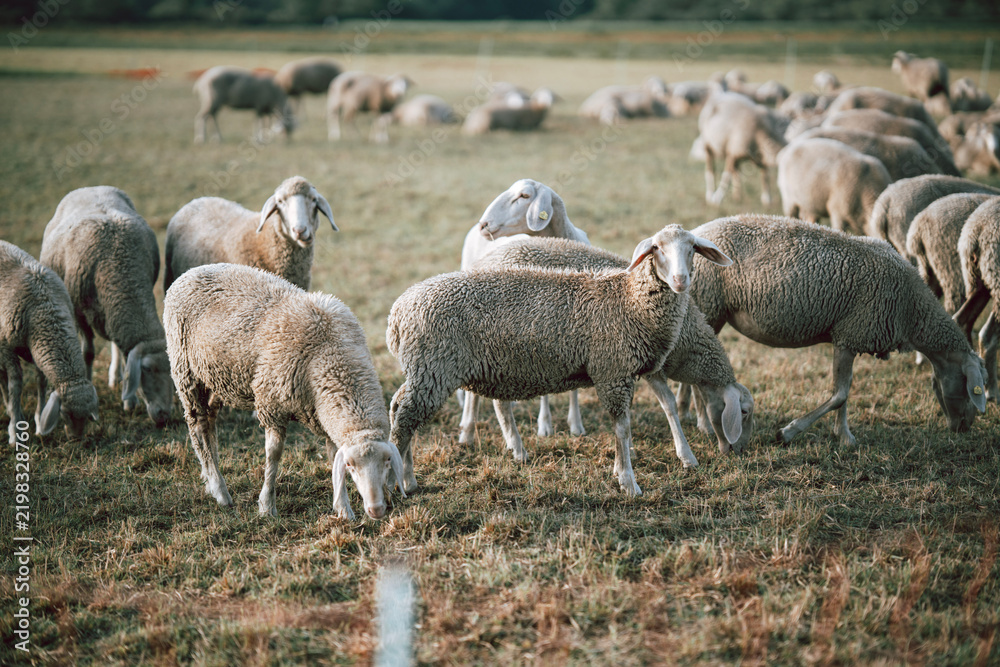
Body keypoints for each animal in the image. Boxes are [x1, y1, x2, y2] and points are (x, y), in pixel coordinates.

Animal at [0, 241, 99, 444]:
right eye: (65, 413)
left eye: (86, 417)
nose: (76, 439)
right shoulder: (7, 348)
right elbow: (16, 384)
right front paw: (15, 431)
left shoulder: (37, 350)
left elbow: (41, 382)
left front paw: (39, 421)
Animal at [40, 186, 174, 426]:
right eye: (146, 369)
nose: (164, 416)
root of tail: (91, 188)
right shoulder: (79, 311)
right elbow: (88, 353)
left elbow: (124, 354)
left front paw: (129, 401)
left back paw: (115, 376)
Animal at [164, 263, 406, 520]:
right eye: (350, 465)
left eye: (388, 461)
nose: (376, 509)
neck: (330, 355)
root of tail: (194, 270)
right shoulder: (271, 405)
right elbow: (274, 455)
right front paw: (267, 506)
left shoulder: (322, 413)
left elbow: (332, 456)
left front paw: (343, 509)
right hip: (187, 373)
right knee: (199, 426)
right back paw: (220, 490)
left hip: (215, 377)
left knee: (209, 424)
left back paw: (213, 481)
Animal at [474, 237, 754, 457]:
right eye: (744, 411)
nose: (740, 451)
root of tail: (484, 260)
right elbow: (668, 404)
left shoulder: (648, 365)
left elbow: (670, 403)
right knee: (500, 403)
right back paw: (513, 445)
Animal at [687, 214, 988, 446]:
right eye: (970, 386)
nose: (963, 429)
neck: (911, 309)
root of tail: (697, 234)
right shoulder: (851, 333)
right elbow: (840, 394)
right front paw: (789, 432)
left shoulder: (848, 337)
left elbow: (844, 392)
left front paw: (842, 437)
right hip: (710, 306)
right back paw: (704, 425)